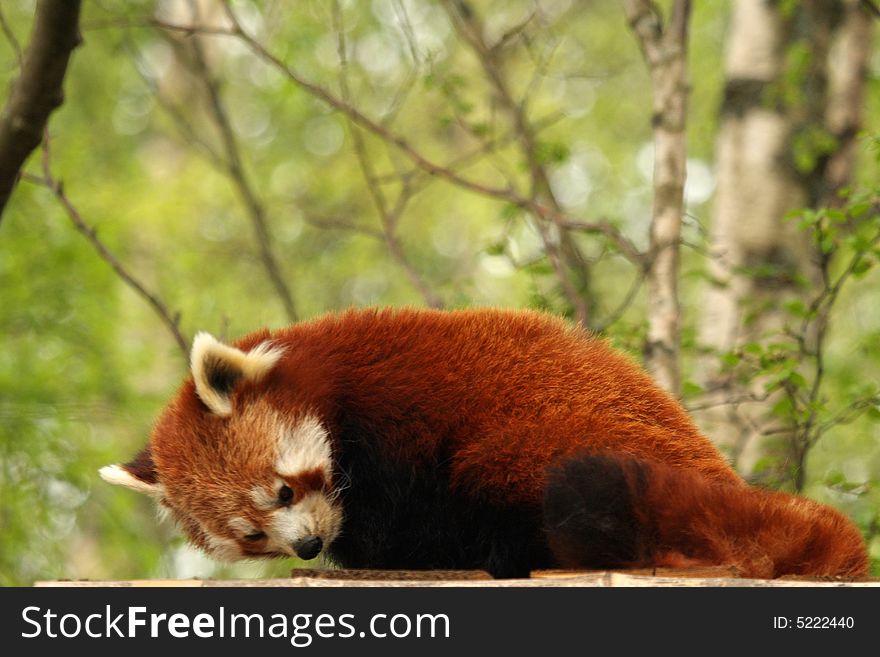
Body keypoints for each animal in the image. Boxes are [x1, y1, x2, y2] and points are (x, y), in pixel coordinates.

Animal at [99, 304, 868, 576]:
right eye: (251, 535)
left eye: (285, 490)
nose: (310, 545)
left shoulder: (400, 423)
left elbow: (398, 519)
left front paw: (369, 550)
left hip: (550, 447)